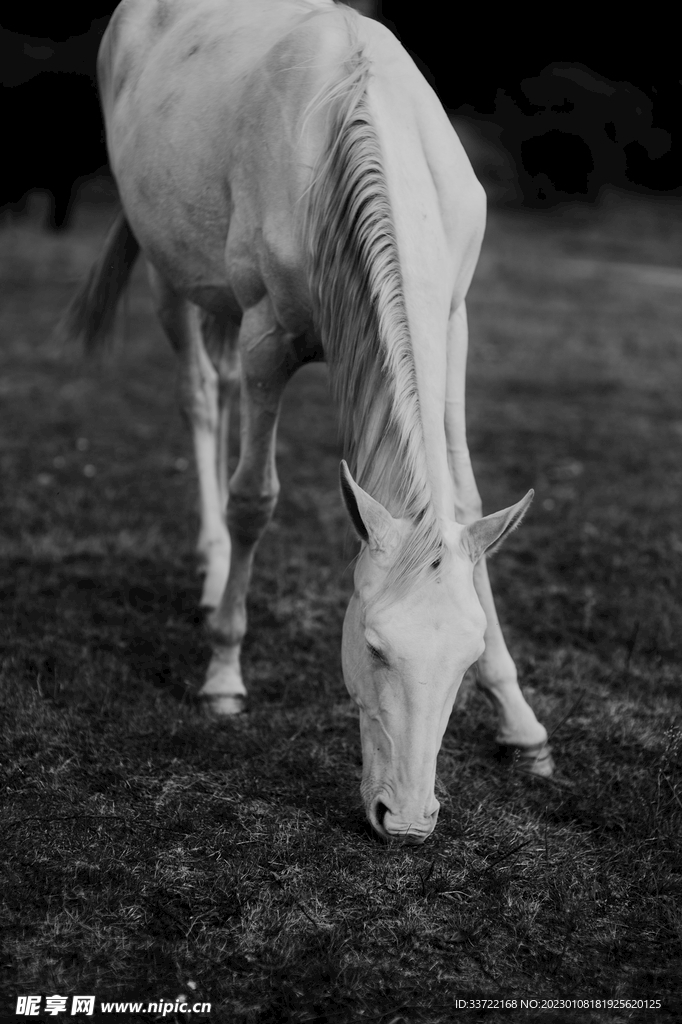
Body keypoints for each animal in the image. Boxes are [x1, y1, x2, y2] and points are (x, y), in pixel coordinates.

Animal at [64, 0, 553, 843]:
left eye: (463, 660)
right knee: (201, 395)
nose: (407, 820)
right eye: (373, 647)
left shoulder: (451, 323)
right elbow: (254, 499)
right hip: (168, 271)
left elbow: (464, 503)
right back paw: (212, 568)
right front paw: (224, 676)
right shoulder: (269, 335)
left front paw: (521, 726)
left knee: (222, 385)